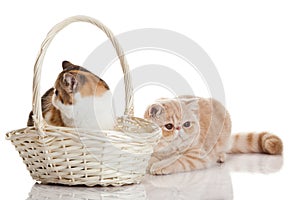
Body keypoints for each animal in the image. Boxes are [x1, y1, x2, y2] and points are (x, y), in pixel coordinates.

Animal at [144, 96, 282, 174]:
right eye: (169, 126)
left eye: (187, 124)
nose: (179, 129)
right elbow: (151, 158)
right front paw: (151, 164)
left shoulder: (196, 156)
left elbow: (177, 161)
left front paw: (159, 166)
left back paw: (220, 156)